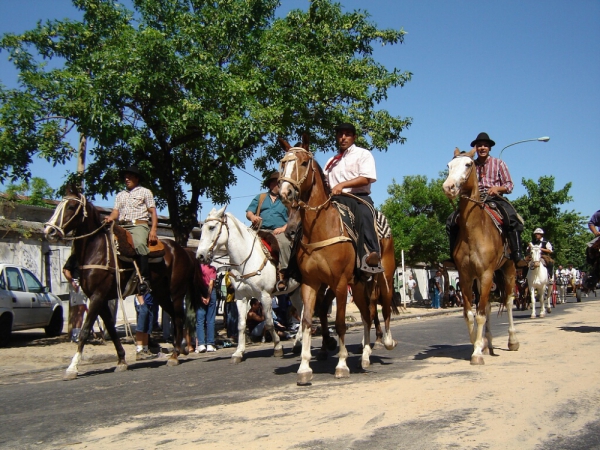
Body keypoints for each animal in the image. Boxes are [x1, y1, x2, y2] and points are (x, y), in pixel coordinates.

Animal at [44, 185, 204, 378]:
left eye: (71, 206)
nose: (49, 231)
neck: (97, 250)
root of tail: (183, 250)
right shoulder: (100, 299)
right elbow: (111, 331)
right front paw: (121, 360)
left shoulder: (97, 296)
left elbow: (84, 331)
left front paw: (72, 367)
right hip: (161, 293)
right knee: (175, 316)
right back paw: (181, 349)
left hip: (177, 292)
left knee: (179, 318)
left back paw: (174, 355)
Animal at [196, 206, 302, 364]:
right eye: (202, 228)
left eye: (212, 227)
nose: (200, 256)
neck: (246, 260)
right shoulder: (241, 297)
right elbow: (241, 325)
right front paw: (238, 353)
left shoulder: (265, 296)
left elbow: (269, 322)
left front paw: (277, 347)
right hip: (295, 293)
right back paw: (298, 344)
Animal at [278, 134, 398, 384]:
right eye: (283, 163)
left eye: (303, 163)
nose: (285, 193)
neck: (321, 229)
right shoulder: (311, 283)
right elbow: (307, 321)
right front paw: (304, 368)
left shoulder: (341, 283)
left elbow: (341, 322)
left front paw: (341, 364)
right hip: (360, 284)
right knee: (367, 314)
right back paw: (365, 356)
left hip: (384, 276)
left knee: (384, 305)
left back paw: (387, 341)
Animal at [440, 149, 520, 366]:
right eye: (449, 165)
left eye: (468, 164)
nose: (448, 187)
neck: (474, 231)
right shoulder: (466, 276)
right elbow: (470, 314)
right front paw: (478, 343)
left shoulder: (486, 274)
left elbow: (481, 314)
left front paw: (476, 353)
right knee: (490, 306)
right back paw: (488, 342)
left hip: (508, 269)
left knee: (508, 301)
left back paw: (512, 341)